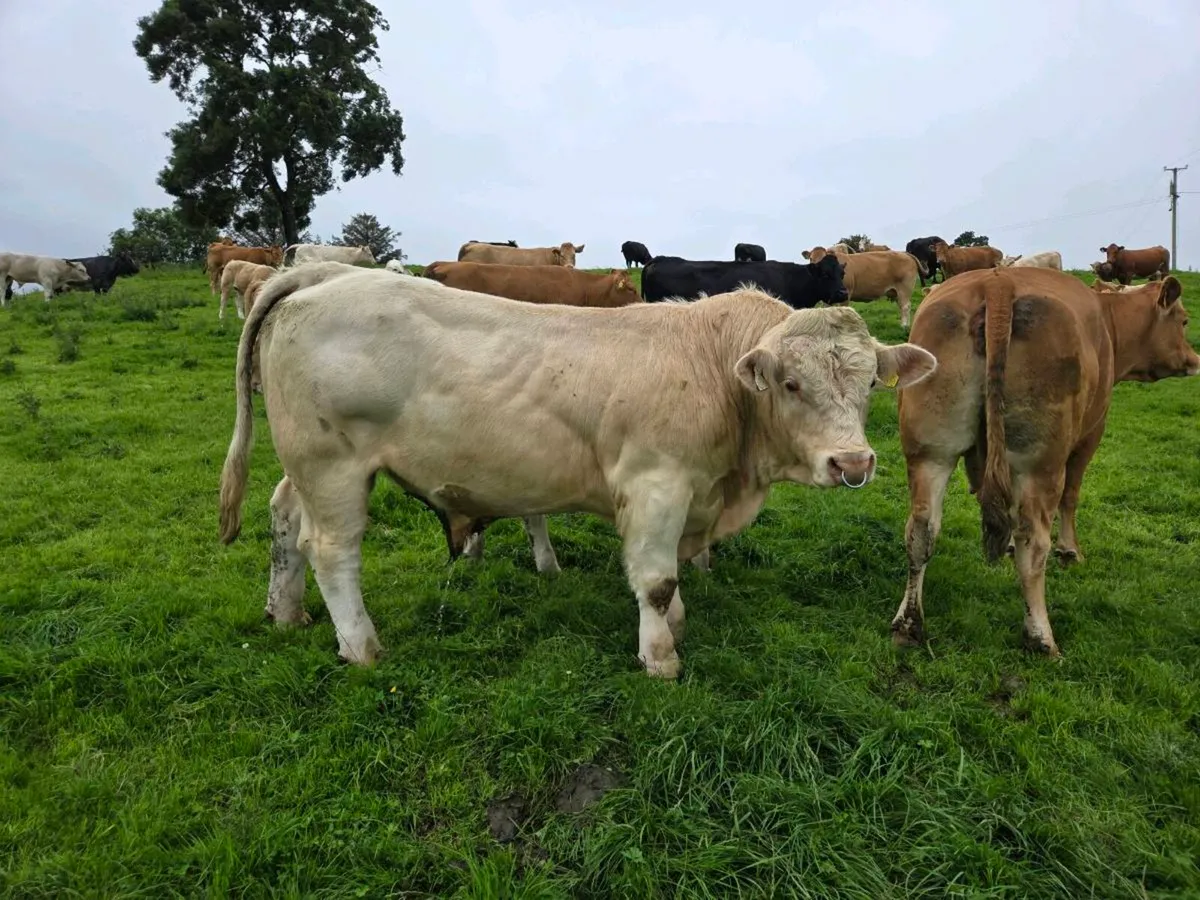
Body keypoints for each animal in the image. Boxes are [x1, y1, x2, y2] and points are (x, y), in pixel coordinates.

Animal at [218, 262, 937, 675]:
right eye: (790, 383)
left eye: (869, 384)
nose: (854, 461)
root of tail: (321, 277)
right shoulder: (655, 485)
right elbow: (656, 580)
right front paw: (661, 656)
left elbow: (671, 578)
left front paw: (674, 626)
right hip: (333, 465)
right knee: (331, 550)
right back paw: (362, 647)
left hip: (306, 464)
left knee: (285, 520)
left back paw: (287, 613)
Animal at [890, 268, 1198, 659]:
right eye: (1184, 320)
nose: (1195, 360)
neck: (1107, 321)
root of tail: (998, 282)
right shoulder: (1090, 434)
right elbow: (1072, 496)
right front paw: (1070, 551)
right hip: (1041, 463)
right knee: (1033, 542)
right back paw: (1040, 637)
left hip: (931, 451)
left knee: (921, 530)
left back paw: (908, 625)